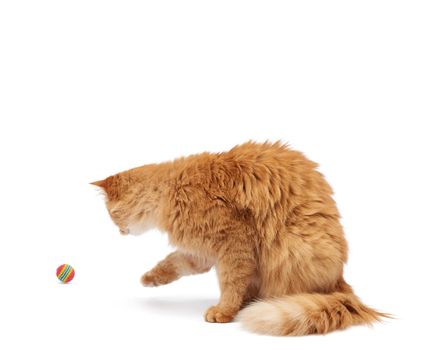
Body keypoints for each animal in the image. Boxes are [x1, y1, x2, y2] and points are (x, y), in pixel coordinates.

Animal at [92, 141, 386, 334]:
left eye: (110, 213)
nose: (117, 231)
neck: (171, 189)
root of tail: (340, 280)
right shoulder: (200, 252)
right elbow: (173, 262)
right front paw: (149, 278)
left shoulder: (234, 243)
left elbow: (230, 283)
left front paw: (223, 311)